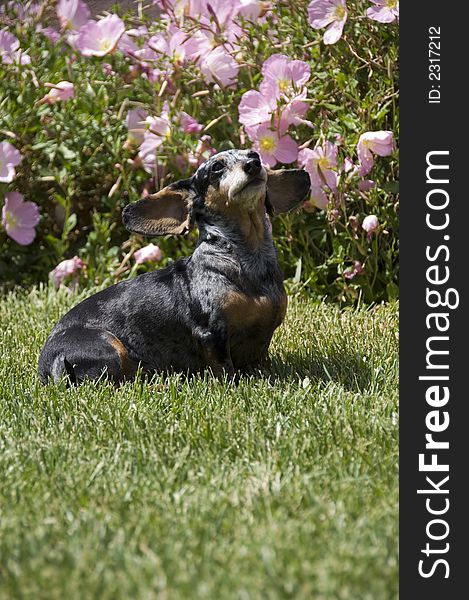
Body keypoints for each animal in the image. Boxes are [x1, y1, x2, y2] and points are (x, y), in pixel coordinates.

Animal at [38, 150, 308, 384]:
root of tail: (46, 367)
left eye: (254, 154)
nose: (253, 164)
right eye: (217, 167)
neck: (243, 258)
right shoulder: (212, 335)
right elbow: (225, 370)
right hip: (110, 347)